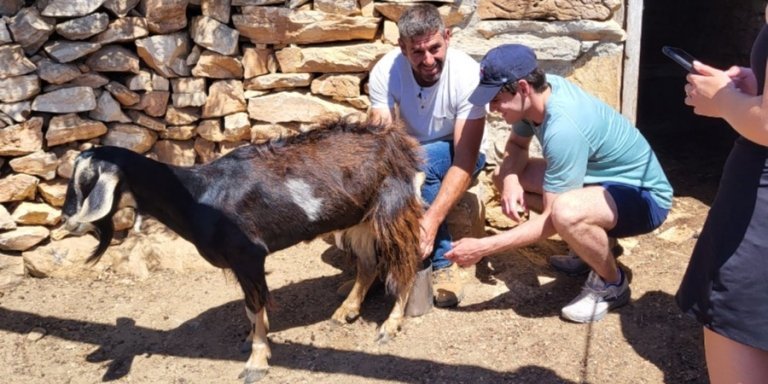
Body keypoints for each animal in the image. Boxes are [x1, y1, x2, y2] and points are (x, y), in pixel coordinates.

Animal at [60, 116, 424, 380]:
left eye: (85, 183)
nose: (66, 220)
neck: (198, 195)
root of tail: (397, 140)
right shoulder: (239, 263)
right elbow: (250, 308)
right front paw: (252, 339)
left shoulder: (248, 256)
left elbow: (256, 304)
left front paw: (257, 362)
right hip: (360, 219)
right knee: (369, 265)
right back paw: (346, 309)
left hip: (392, 207)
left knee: (406, 261)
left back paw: (390, 325)